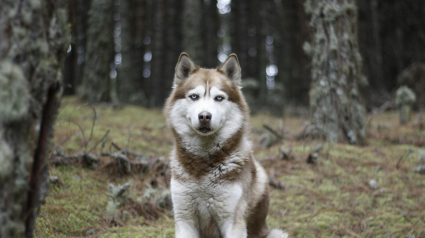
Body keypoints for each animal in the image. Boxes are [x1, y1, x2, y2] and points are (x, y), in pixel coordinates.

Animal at [164, 52, 286, 238]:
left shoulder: (233, 222)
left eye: (219, 98)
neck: (203, 163)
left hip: (275, 234)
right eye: (194, 96)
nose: (204, 116)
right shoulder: (184, 219)